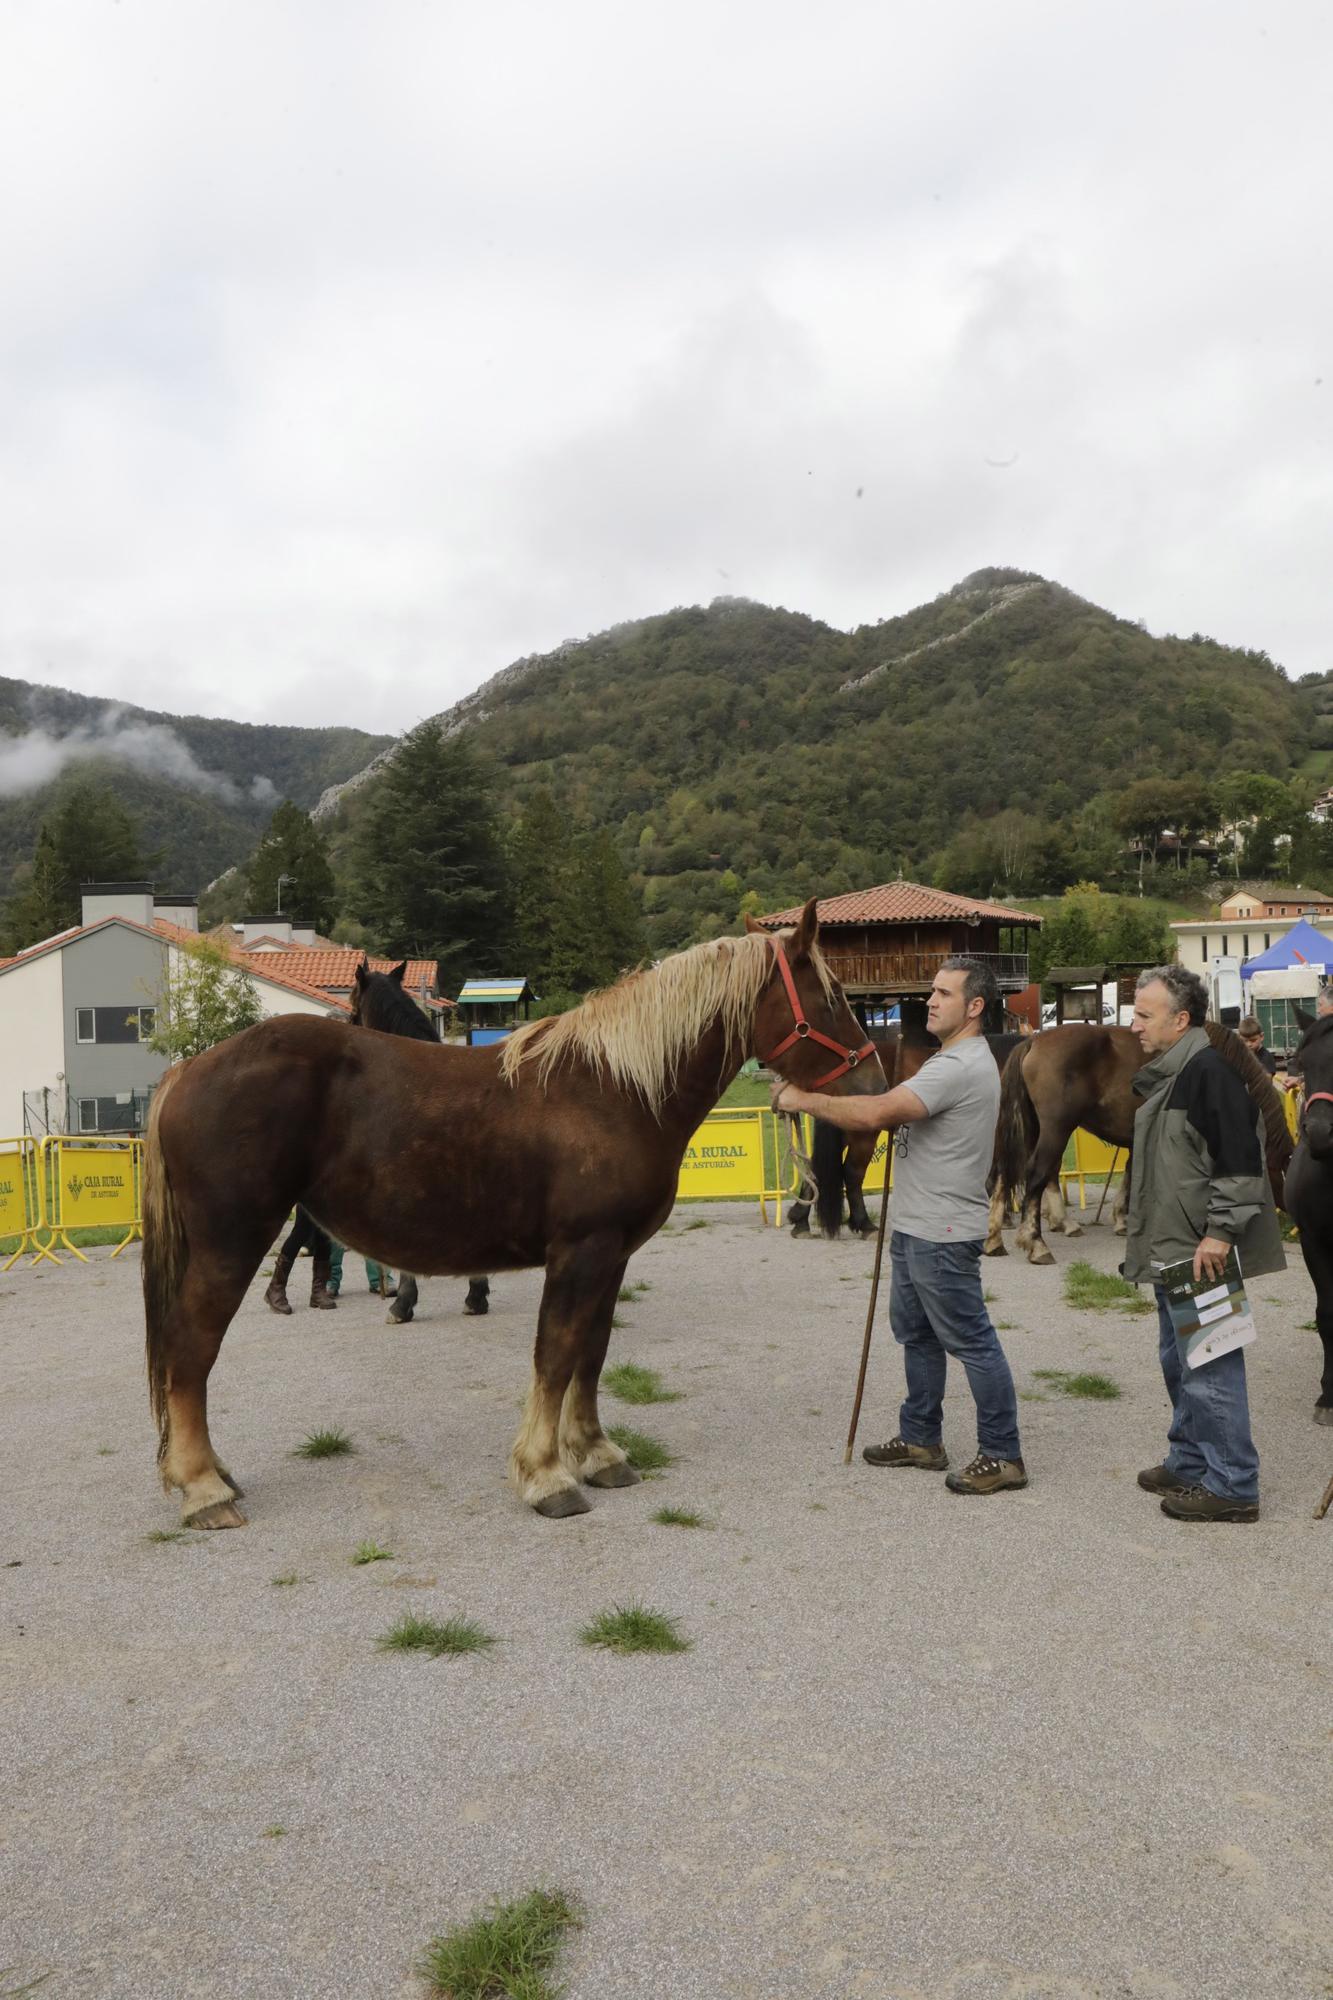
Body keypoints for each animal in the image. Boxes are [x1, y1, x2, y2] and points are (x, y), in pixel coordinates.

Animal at [140, 908, 880, 1528]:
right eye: (832, 996)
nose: (874, 1087)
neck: (614, 1089)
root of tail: (187, 1072)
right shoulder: (580, 1251)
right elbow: (554, 1355)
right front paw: (546, 1476)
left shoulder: (612, 1255)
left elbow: (591, 1353)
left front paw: (597, 1454)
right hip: (231, 1244)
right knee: (190, 1352)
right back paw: (203, 1488)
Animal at [984, 1016, 1288, 1264]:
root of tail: (1033, 1040)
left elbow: (1131, 1173)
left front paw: (1122, 1218)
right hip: (1056, 1129)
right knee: (1036, 1173)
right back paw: (1036, 1243)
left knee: (1004, 1174)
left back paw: (996, 1238)